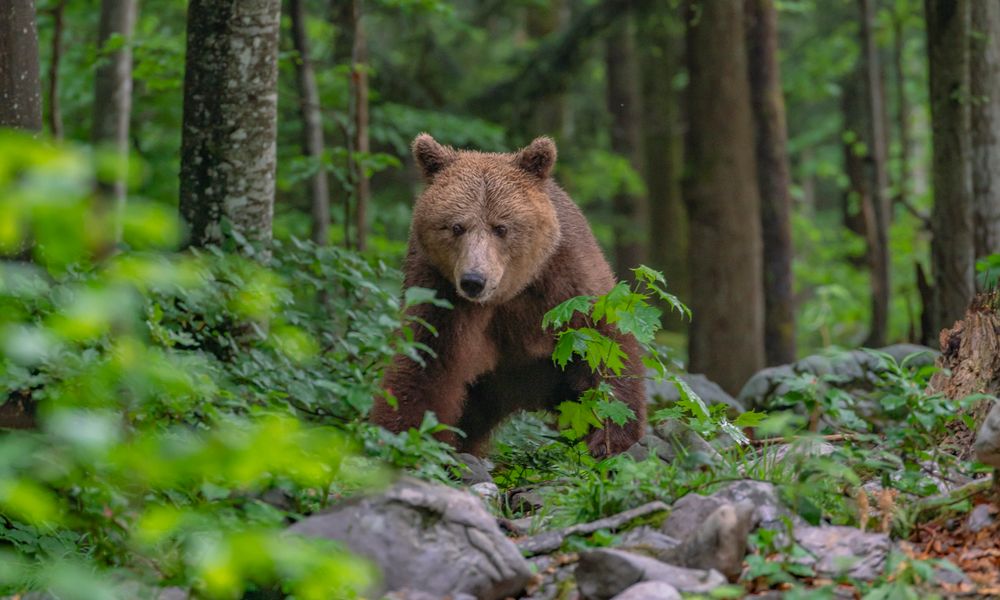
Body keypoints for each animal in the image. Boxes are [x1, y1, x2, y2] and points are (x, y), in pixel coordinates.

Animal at [372, 135, 644, 454]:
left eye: (500, 227)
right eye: (456, 226)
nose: (473, 280)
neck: (510, 291)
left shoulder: (567, 284)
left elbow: (603, 350)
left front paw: (608, 439)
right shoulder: (441, 292)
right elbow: (427, 362)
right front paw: (401, 433)